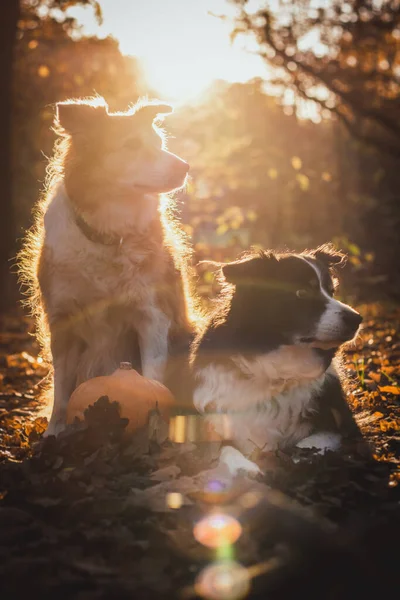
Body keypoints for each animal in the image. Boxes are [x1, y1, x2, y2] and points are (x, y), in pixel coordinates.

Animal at [191, 244, 362, 460]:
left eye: (332, 291)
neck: (277, 373)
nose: (357, 319)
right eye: (302, 293)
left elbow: (307, 447)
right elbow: (229, 453)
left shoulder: (343, 427)